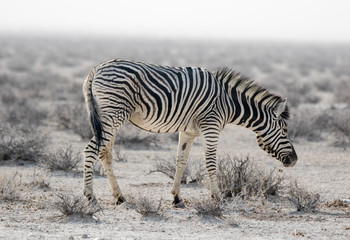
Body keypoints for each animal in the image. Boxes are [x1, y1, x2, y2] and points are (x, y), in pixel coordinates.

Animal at [81, 58, 296, 206]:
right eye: (284, 130)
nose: (295, 160)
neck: (228, 101)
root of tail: (95, 69)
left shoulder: (188, 131)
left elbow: (181, 161)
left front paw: (176, 197)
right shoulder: (211, 127)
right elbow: (211, 163)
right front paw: (217, 197)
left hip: (109, 118)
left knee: (104, 153)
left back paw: (119, 196)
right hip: (113, 115)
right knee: (91, 150)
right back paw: (90, 196)